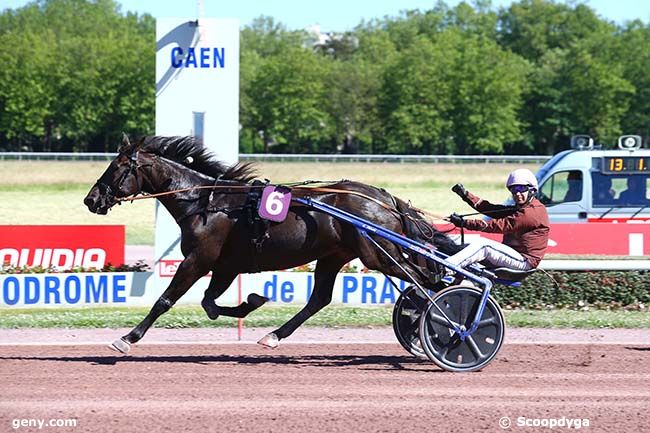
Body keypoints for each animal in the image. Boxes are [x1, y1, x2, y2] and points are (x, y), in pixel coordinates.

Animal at [83, 134, 458, 352]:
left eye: (116, 166)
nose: (91, 199)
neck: (206, 202)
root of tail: (385, 198)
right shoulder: (225, 265)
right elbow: (209, 303)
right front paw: (252, 301)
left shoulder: (199, 259)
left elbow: (165, 300)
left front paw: (127, 338)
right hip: (335, 255)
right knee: (320, 298)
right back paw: (274, 335)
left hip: (377, 254)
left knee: (427, 281)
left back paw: (446, 324)